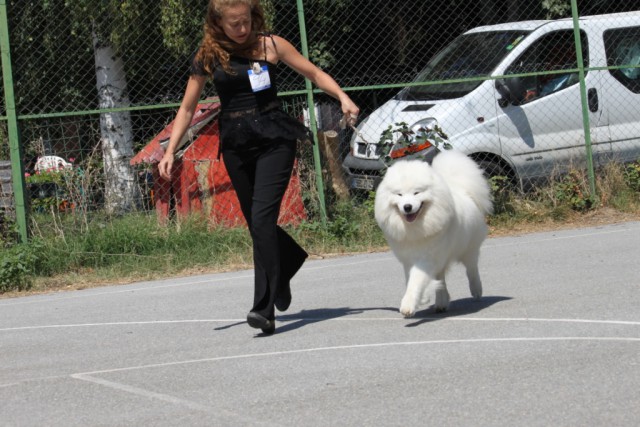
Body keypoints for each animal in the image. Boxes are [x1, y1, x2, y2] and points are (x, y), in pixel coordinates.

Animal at [376, 151, 496, 318]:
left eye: (416, 192)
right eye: (399, 194)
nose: (407, 207)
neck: (416, 228)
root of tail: (461, 190)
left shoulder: (427, 257)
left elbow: (416, 280)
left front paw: (408, 305)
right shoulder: (408, 259)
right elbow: (412, 279)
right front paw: (423, 298)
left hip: (468, 249)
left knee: (471, 269)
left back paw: (476, 290)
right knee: (441, 278)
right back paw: (441, 303)